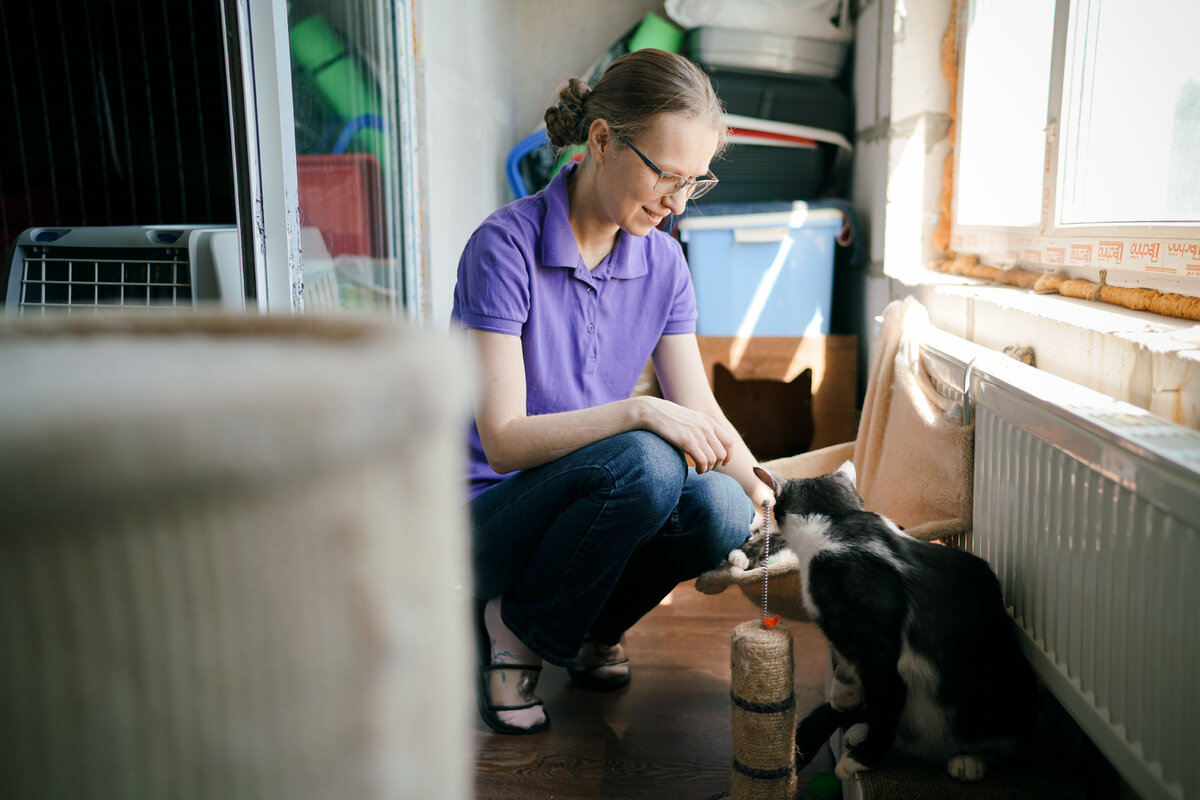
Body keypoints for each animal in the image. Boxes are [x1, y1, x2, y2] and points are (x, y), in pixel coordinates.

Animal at [729, 462, 1041, 782]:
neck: (840, 521)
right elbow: (845, 663)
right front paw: (844, 696)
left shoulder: (870, 639)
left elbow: (878, 691)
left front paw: (861, 757)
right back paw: (858, 729)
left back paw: (968, 760)